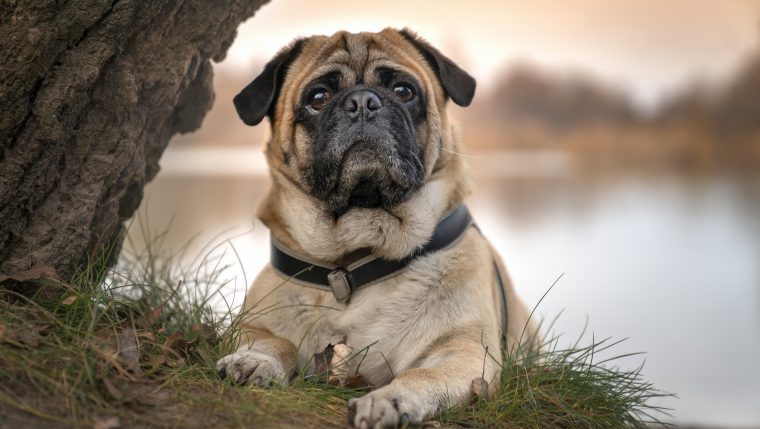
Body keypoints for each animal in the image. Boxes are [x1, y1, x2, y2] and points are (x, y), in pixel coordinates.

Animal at [214, 28, 536, 426]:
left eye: (404, 91)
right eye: (318, 98)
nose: (362, 102)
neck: (352, 259)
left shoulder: (463, 350)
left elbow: (422, 375)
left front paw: (389, 400)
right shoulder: (255, 325)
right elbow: (274, 341)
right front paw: (254, 360)